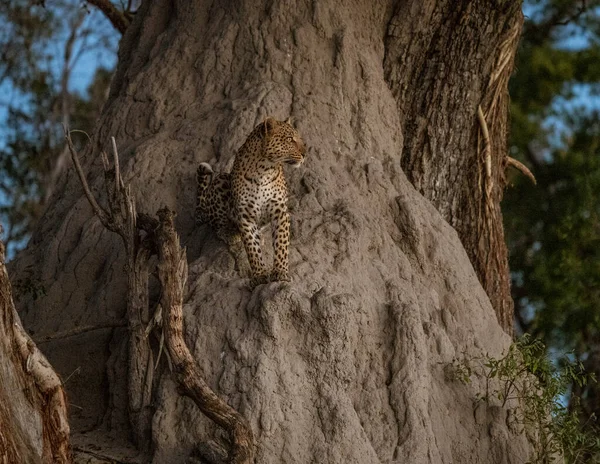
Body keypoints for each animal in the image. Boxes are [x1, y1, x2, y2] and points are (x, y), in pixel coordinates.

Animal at [197, 118, 308, 286]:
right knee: (217, 226)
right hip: (221, 180)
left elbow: (281, 244)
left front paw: (280, 272)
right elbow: (252, 248)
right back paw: (230, 233)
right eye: (289, 139)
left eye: (299, 138)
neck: (264, 169)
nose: (304, 154)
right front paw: (260, 275)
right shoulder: (245, 215)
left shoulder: (279, 211)